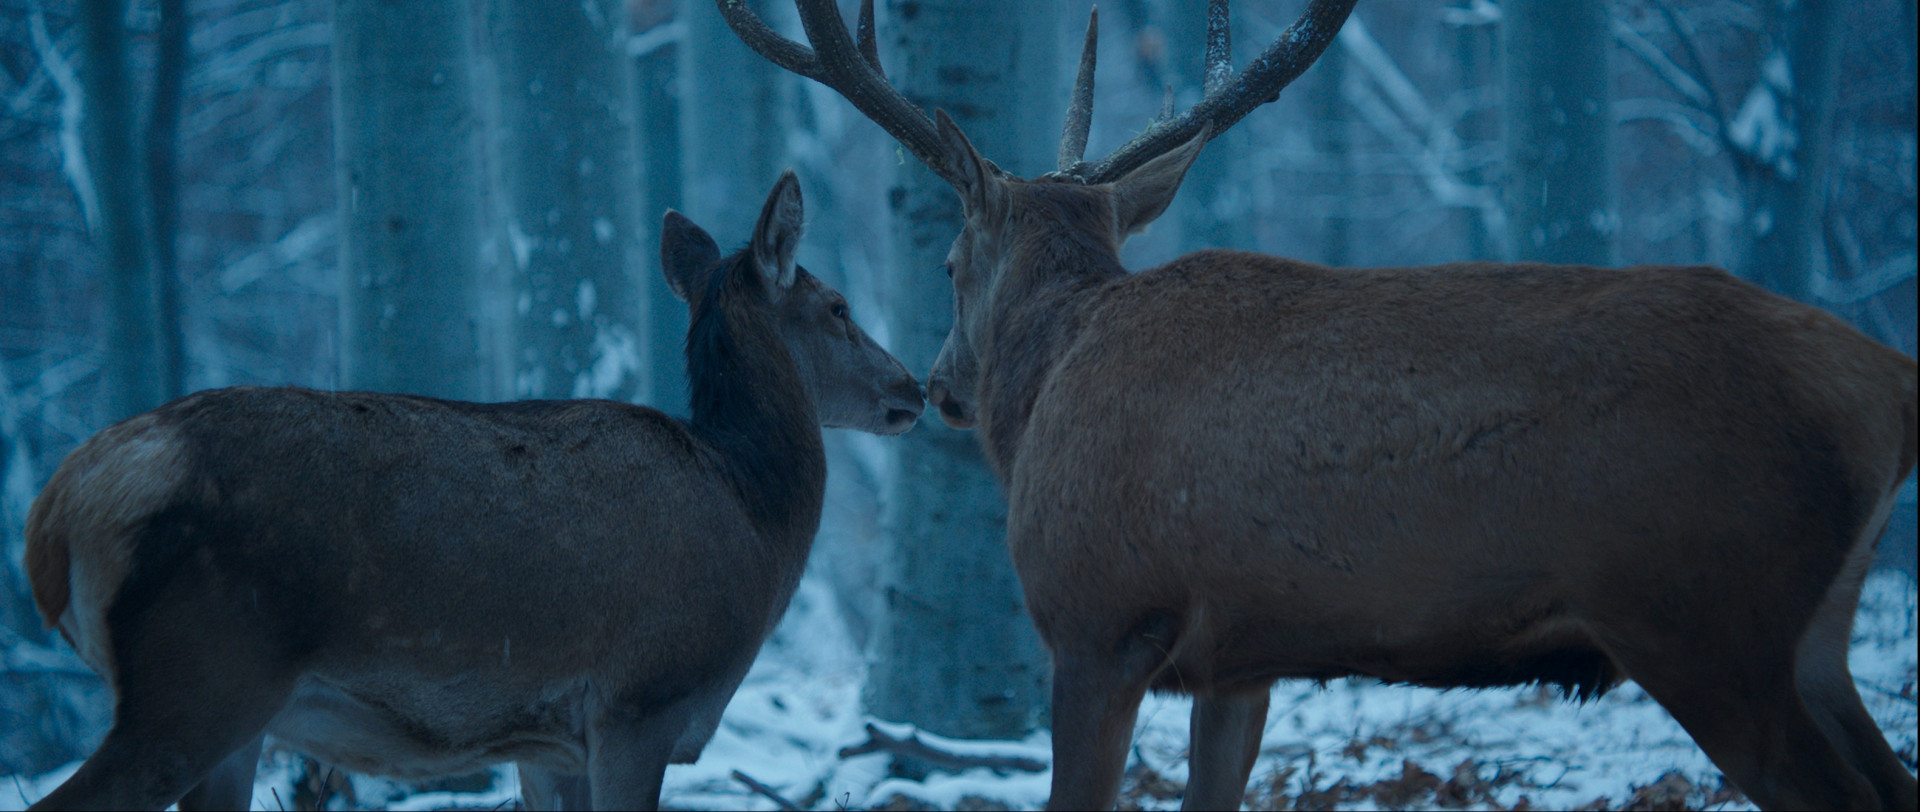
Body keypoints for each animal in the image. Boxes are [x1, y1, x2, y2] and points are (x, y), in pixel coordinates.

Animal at [20, 173, 921, 812]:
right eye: (838, 305)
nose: (912, 386)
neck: (754, 517)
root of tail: (56, 512)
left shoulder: (548, 747)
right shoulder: (641, 702)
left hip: (220, 714)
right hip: (199, 675)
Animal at [721, 3, 1920, 810]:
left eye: (950, 263)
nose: (939, 386)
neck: (1051, 376)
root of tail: (1886, 386)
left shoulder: (1098, 615)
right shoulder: (1243, 659)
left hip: (1709, 613)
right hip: (1811, 633)